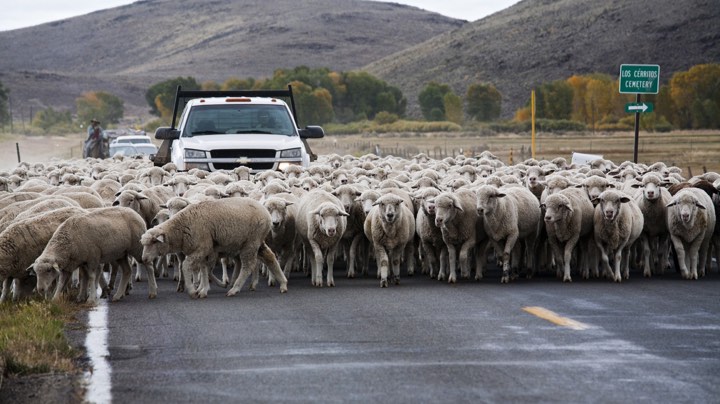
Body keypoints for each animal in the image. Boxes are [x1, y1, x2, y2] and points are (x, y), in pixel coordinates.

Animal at [141, 197, 286, 298]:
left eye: (153, 242)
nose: (144, 259)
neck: (182, 228)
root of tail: (265, 212)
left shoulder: (201, 248)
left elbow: (186, 266)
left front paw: (193, 290)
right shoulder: (206, 251)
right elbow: (204, 269)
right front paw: (203, 289)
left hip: (251, 242)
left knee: (248, 266)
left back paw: (234, 289)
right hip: (255, 241)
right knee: (270, 257)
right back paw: (283, 283)